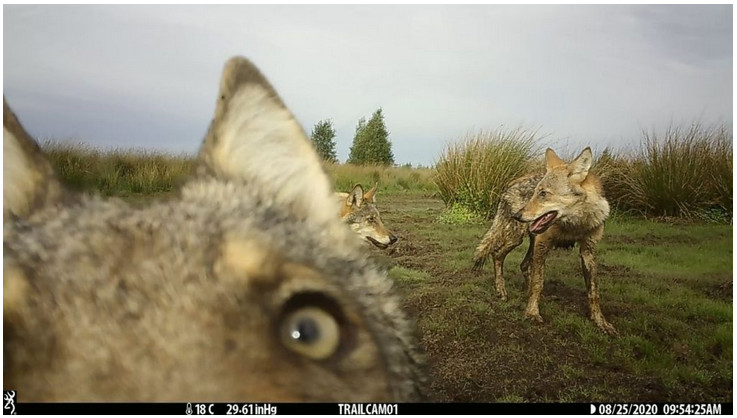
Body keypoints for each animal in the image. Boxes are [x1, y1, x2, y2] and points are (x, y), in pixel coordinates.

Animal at [472, 149, 616, 334]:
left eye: (543, 194)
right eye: (535, 193)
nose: (517, 215)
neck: (574, 225)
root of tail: (511, 183)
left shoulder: (588, 251)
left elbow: (593, 291)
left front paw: (600, 322)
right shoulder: (543, 243)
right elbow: (538, 282)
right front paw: (532, 313)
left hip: (531, 243)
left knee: (524, 265)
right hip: (516, 238)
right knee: (497, 255)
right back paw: (501, 291)